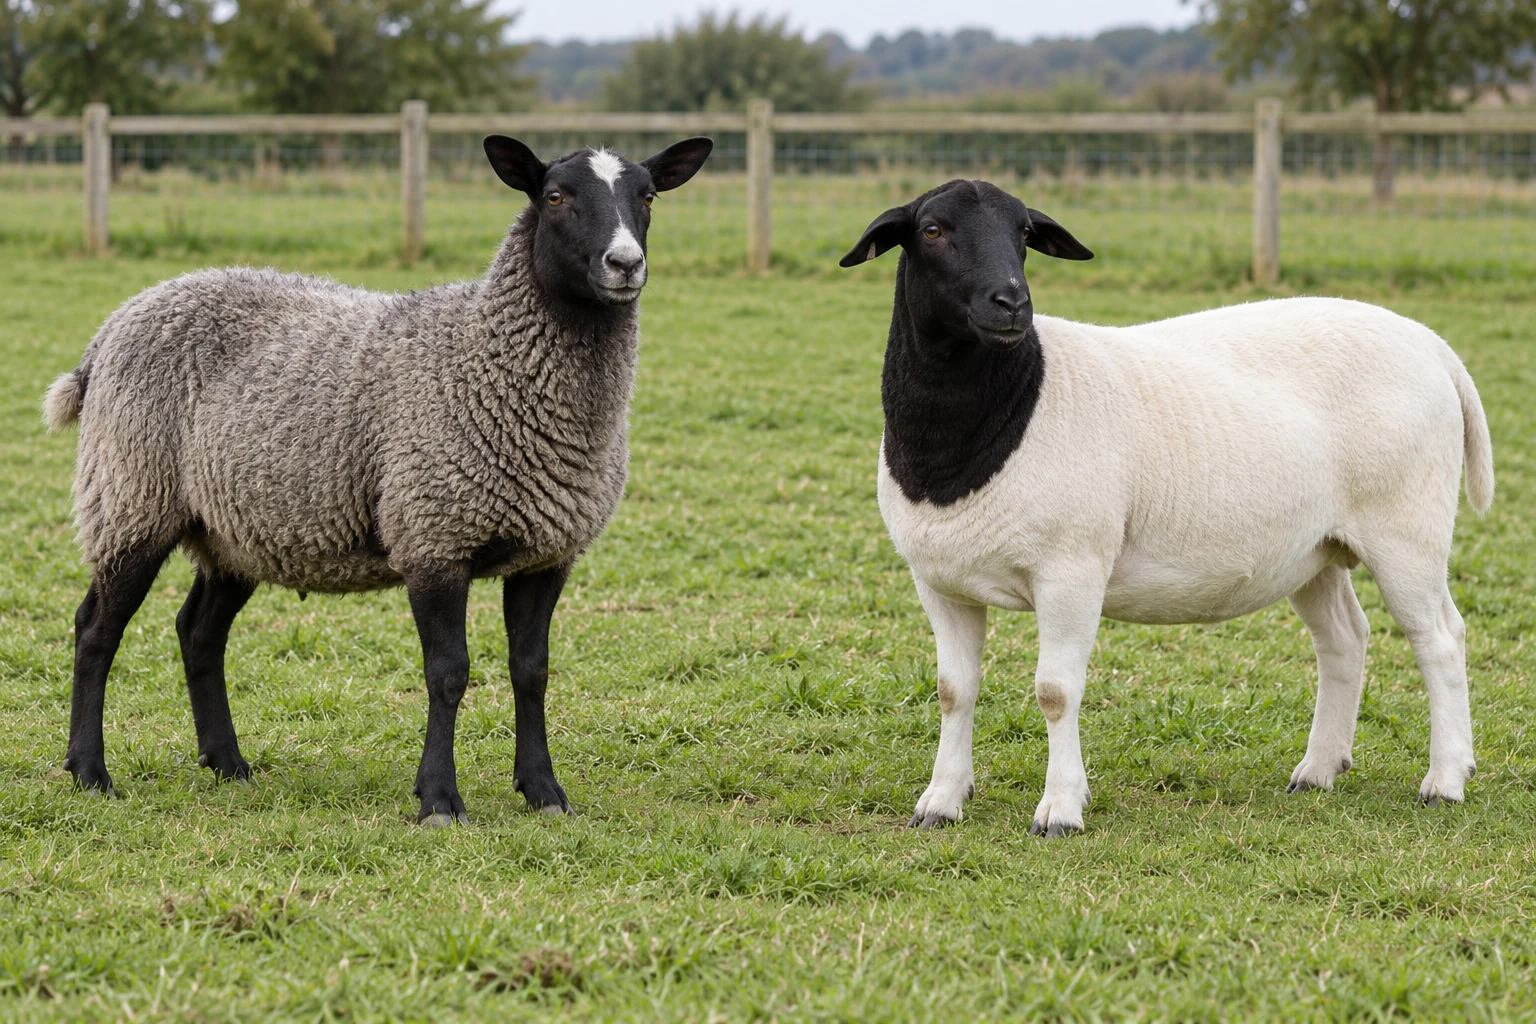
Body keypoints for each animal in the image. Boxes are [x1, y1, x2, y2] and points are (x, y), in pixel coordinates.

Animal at [43, 134, 714, 825]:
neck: (486, 356)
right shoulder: (432, 535)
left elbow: (532, 670)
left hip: (234, 526)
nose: (625, 264)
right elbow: (449, 672)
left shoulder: (547, 552)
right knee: (95, 630)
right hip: (130, 495)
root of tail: (114, 325)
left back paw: (229, 765)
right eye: (555, 197)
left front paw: (544, 792)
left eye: (649, 197)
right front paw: (440, 800)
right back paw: (90, 773)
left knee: (199, 632)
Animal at [839, 179, 1495, 837]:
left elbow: (1056, 691)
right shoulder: (939, 581)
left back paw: (1445, 780)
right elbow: (954, 690)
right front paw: (941, 801)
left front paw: (1061, 810)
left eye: (1024, 232)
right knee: (1344, 639)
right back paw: (1318, 770)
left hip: (1407, 525)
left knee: (1439, 639)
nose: (1012, 303)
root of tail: (1433, 346)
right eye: (932, 230)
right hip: (1314, 549)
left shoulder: (1072, 568)